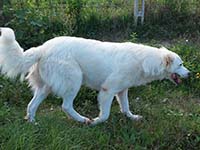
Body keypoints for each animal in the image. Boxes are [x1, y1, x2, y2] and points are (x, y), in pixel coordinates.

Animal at [0, 27, 190, 125]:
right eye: (180, 65)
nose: (189, 74)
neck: (144, 61)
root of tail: (43, 47)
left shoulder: (122, 90)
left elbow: (126, 108)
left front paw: (132, 118)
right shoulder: (108, 91)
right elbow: (105, 114)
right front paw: (96, 121)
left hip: (45, 88)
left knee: (31, 106)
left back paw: (33, 123)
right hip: (74, 81)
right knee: (66, 106)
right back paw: (83, 120)